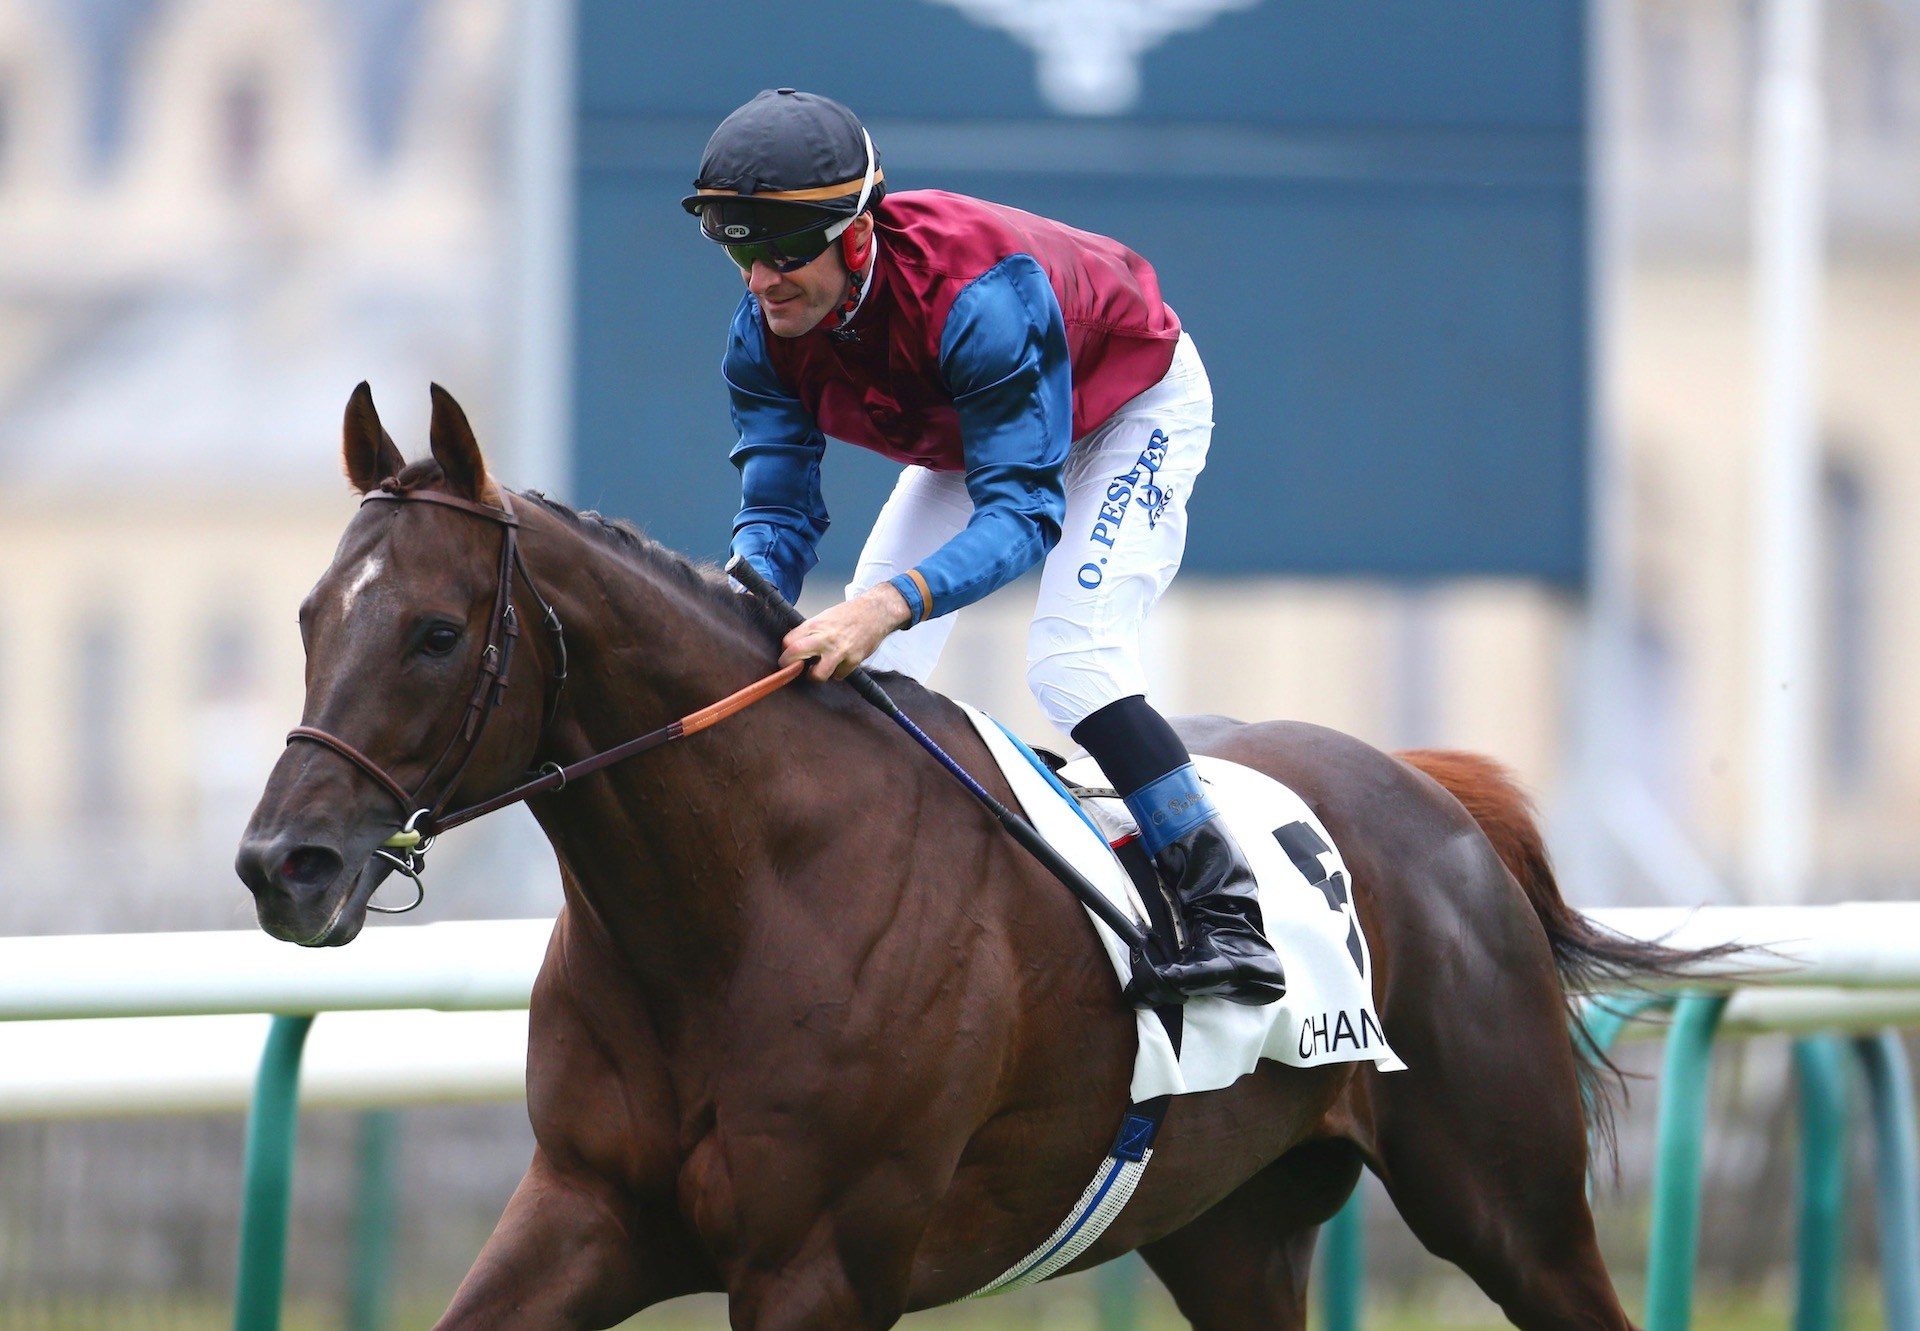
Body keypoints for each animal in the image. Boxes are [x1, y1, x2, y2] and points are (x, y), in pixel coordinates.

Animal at [236, 378, 1712, 1321]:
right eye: (307, 613)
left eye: (434, 632)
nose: (279, 864)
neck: (739, 906)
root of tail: (1435, 792)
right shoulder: (586, 1209)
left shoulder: (821, 1260)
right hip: (1229, 1226)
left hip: (1506, 1198)